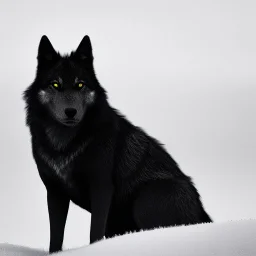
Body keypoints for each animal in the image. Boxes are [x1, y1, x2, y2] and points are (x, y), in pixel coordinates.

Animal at [23, 35, 213, 253]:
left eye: (80, 85)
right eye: (55, 84)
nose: (70, 112)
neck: (64, 144)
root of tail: (204, 215)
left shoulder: (101, 187)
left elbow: (95, 231)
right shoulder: (55, 192)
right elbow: (55, 237)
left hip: (145, 200)